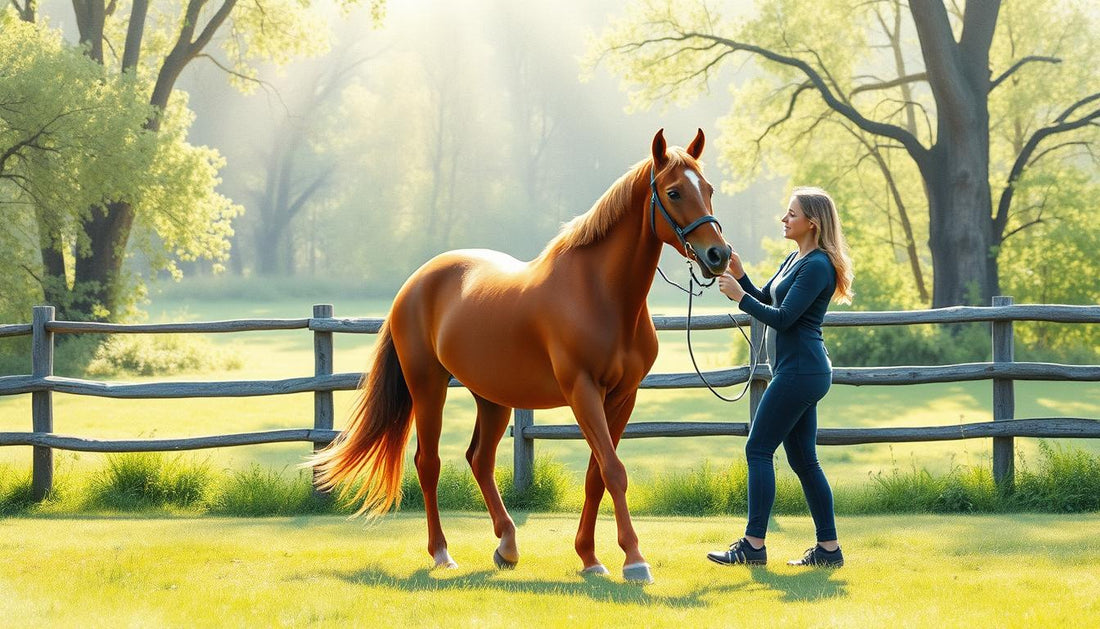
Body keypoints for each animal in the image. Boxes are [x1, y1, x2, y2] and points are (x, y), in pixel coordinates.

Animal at [310, 129, 730, 584]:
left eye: (708, 189)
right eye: (674, 192)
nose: (718, 255)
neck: (599, 293)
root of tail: (415, 283)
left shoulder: (622, 396)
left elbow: (597, 474)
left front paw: (589, 557)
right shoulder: (582, 391)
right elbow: (614, 471)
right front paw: (634, 559)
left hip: (492, 398)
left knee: (480, 460)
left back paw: (507, 545)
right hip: (427, 386)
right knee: (428, 463)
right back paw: (442, 553)